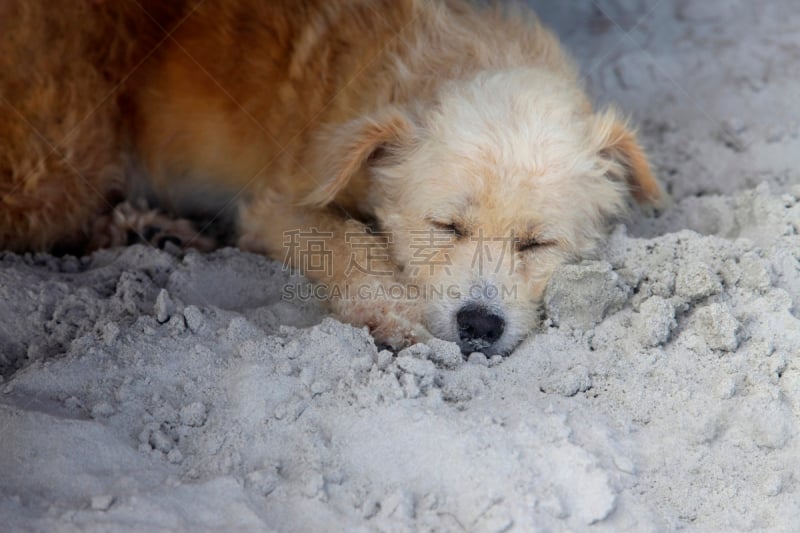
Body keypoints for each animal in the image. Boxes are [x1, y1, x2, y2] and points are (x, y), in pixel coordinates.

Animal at [1, 2, 664, 356]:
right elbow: (347, 239)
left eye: (536, 243)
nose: (479, 325)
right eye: (445, 226)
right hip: (66, 157)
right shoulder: (277, 203)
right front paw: (393, 308)